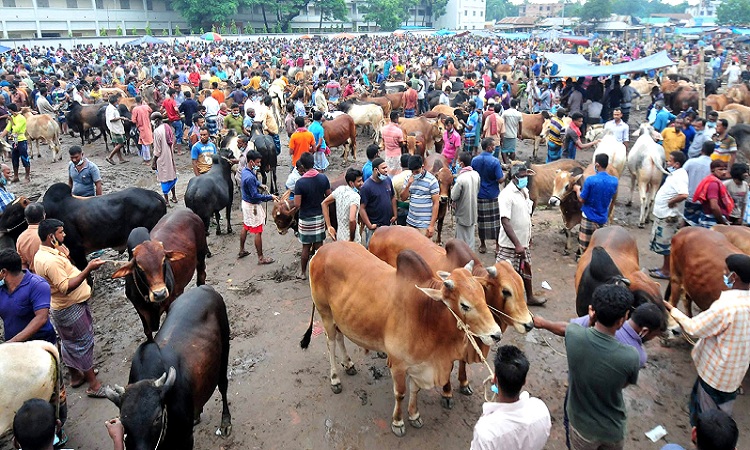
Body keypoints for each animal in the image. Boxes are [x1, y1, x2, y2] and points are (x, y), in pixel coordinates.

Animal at [104, 286, 231, 448]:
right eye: (124, 424)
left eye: (157, 418)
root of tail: (204, 287)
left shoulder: (187, 439)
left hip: (225, 349)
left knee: (223, 385)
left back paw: (226, 422)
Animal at [110, 209, 209, 340]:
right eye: (139, 267)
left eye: (163, 261)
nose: (160, 294)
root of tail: (188, 211)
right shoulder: (139, 309)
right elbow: (147, 331)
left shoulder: (169, 302)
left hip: (201, 255)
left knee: (201, 276)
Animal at [302, 243, 506, 436]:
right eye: (464, 305)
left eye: (483, 294)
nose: (496, 334)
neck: (426, 313)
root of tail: (321, 250)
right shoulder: (399, 365)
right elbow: (400, 393)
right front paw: (398, 422)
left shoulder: (419, 363)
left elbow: (415, 390)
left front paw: (414, 415)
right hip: (325, 312)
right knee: (330, 343)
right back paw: (335, 379)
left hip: (340, 315)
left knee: (340, 337)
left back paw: (349, 364)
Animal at [370, 229, 536, 398]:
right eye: (506, 291)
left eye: (522, 285)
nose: (529, 324)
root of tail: (379, 231)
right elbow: (448, 366)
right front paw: (447, 391)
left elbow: (462, 362)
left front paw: (464, 383)